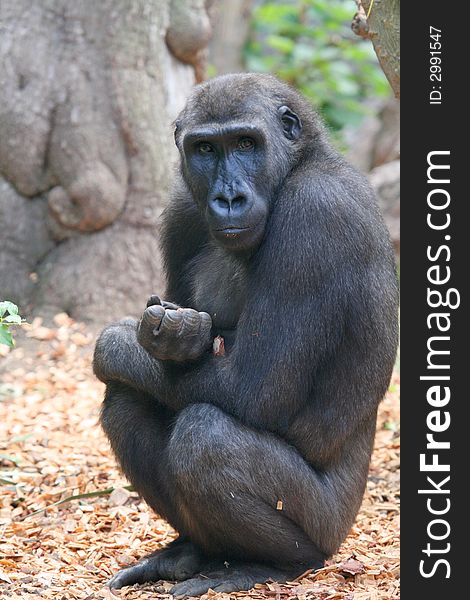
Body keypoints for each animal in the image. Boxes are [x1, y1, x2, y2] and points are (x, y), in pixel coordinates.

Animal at [93, 74, 398, 596]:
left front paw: (116, 341)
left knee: (205, 438)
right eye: (205, 148)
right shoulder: (181, 211)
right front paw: (171, 337)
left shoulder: (316, 213)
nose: (229, 198)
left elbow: (255, 390)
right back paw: (194, 553)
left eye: (245, 143)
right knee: (127, 399)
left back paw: (275, 564)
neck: (299, 162)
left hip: (331, 527)